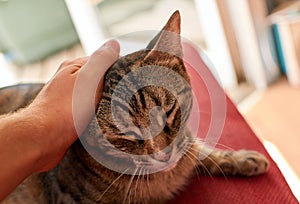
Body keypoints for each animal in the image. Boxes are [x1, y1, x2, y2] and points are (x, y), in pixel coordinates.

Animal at [0, 11, 268, 204]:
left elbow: (199, 150)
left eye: (168, 110)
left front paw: (242, 159)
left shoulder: (187, 145)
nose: (163, 155)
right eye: (124, 135)